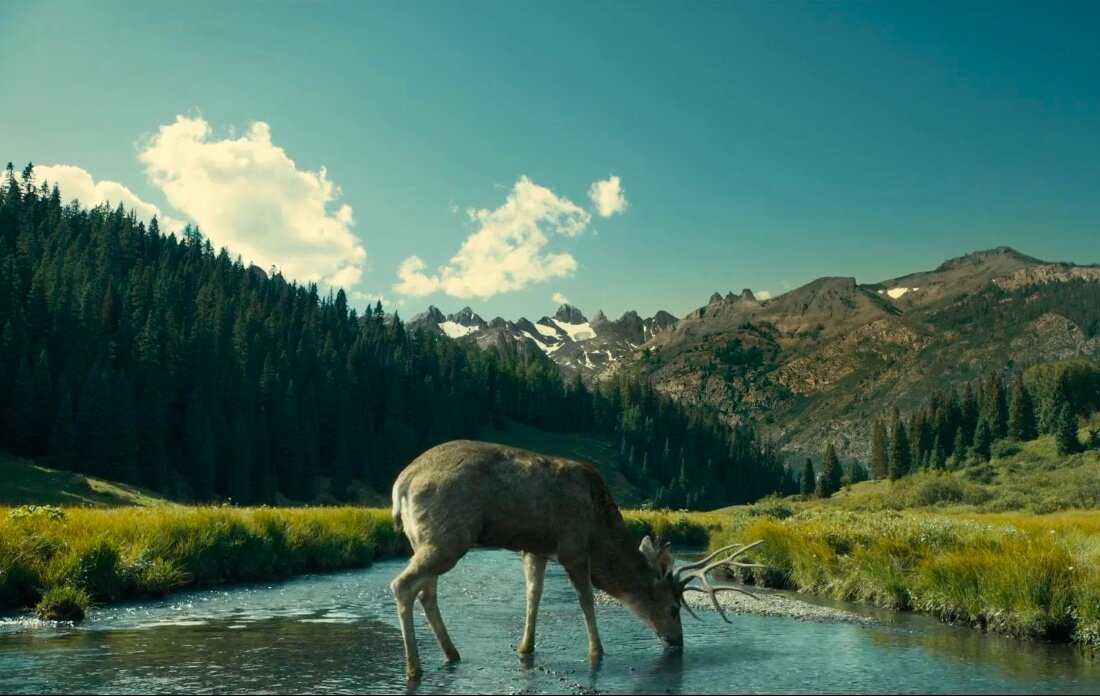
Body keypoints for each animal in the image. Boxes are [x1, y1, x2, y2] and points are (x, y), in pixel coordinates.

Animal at [389, 439, 765, 677]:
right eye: (673, 608)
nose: (678, 642)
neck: (600, 528)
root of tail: (400, 486)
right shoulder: (572, 545)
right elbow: (586, 599)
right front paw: (597, 651)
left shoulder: (536, 548)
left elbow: (534, 594)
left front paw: (526, 648)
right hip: (449, 534)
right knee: (402, 585)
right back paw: (414, 666)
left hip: (425, 539)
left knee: (426, 591)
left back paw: (451, 653)